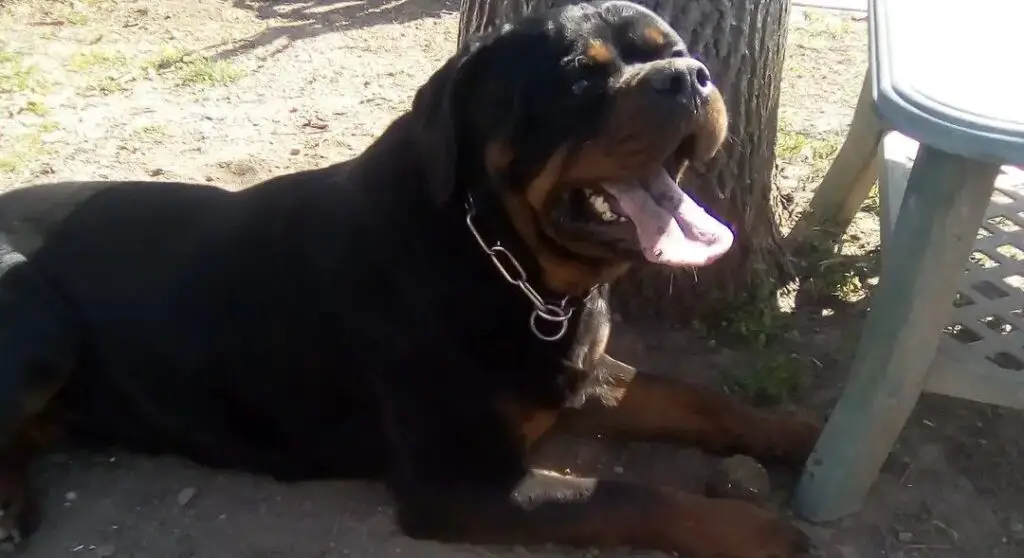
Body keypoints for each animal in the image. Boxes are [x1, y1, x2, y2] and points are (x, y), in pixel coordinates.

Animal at [0, 2, 819, 552]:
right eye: (580, 78)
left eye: (672, 49)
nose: (690, 76)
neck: (504, 261)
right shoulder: (461, 484)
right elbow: (629, 494)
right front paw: (761, 529)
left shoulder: (578, 373)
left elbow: (695, 398)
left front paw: (799, 432)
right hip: (41, 323)